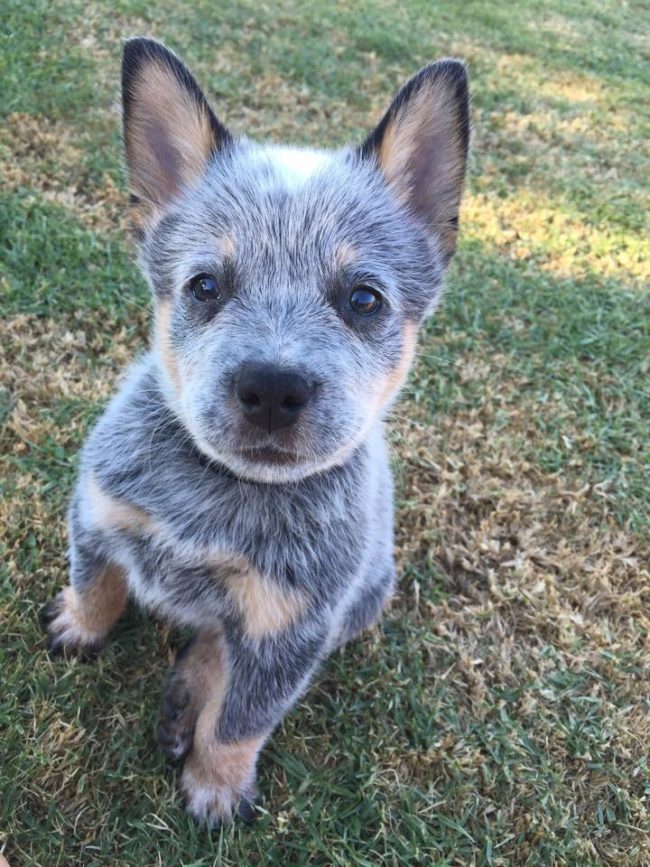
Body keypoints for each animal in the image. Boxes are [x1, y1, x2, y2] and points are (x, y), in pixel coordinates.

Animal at [43, 39, 468, 828]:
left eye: (364, 299)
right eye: (205, 285)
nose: (273, 387)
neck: (215, 501)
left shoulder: (291, 629)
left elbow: (241, 720)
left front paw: (215, 786)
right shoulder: (96, 508)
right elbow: (96, 582)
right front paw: (80, 626)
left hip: (366, 596)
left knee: (220, 645)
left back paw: (188, 695)